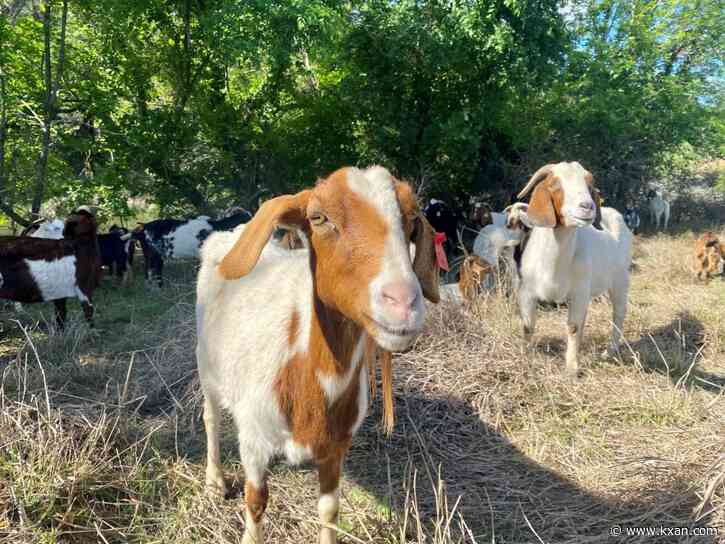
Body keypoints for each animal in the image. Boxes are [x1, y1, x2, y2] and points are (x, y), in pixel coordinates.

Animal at [196, 166, 439, 544]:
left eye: (413, 218)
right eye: (318, 218)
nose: (403, 302)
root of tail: (226, 235)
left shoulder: (336, 445)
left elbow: (329, 510)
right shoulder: (252, 436)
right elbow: (256, 502)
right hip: (206, 364)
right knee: (211, 417)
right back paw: (214, 481)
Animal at [509, 162, 632, 377]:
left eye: (589, 185)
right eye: (555, 184)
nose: (587, 207)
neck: (553, 266)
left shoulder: (579, 294)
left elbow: (573, 327)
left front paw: (572, 368)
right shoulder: (525, 292)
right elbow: (527, 326)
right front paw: (525, 356)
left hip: (621, 281)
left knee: (618, 314)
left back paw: (610, 352)